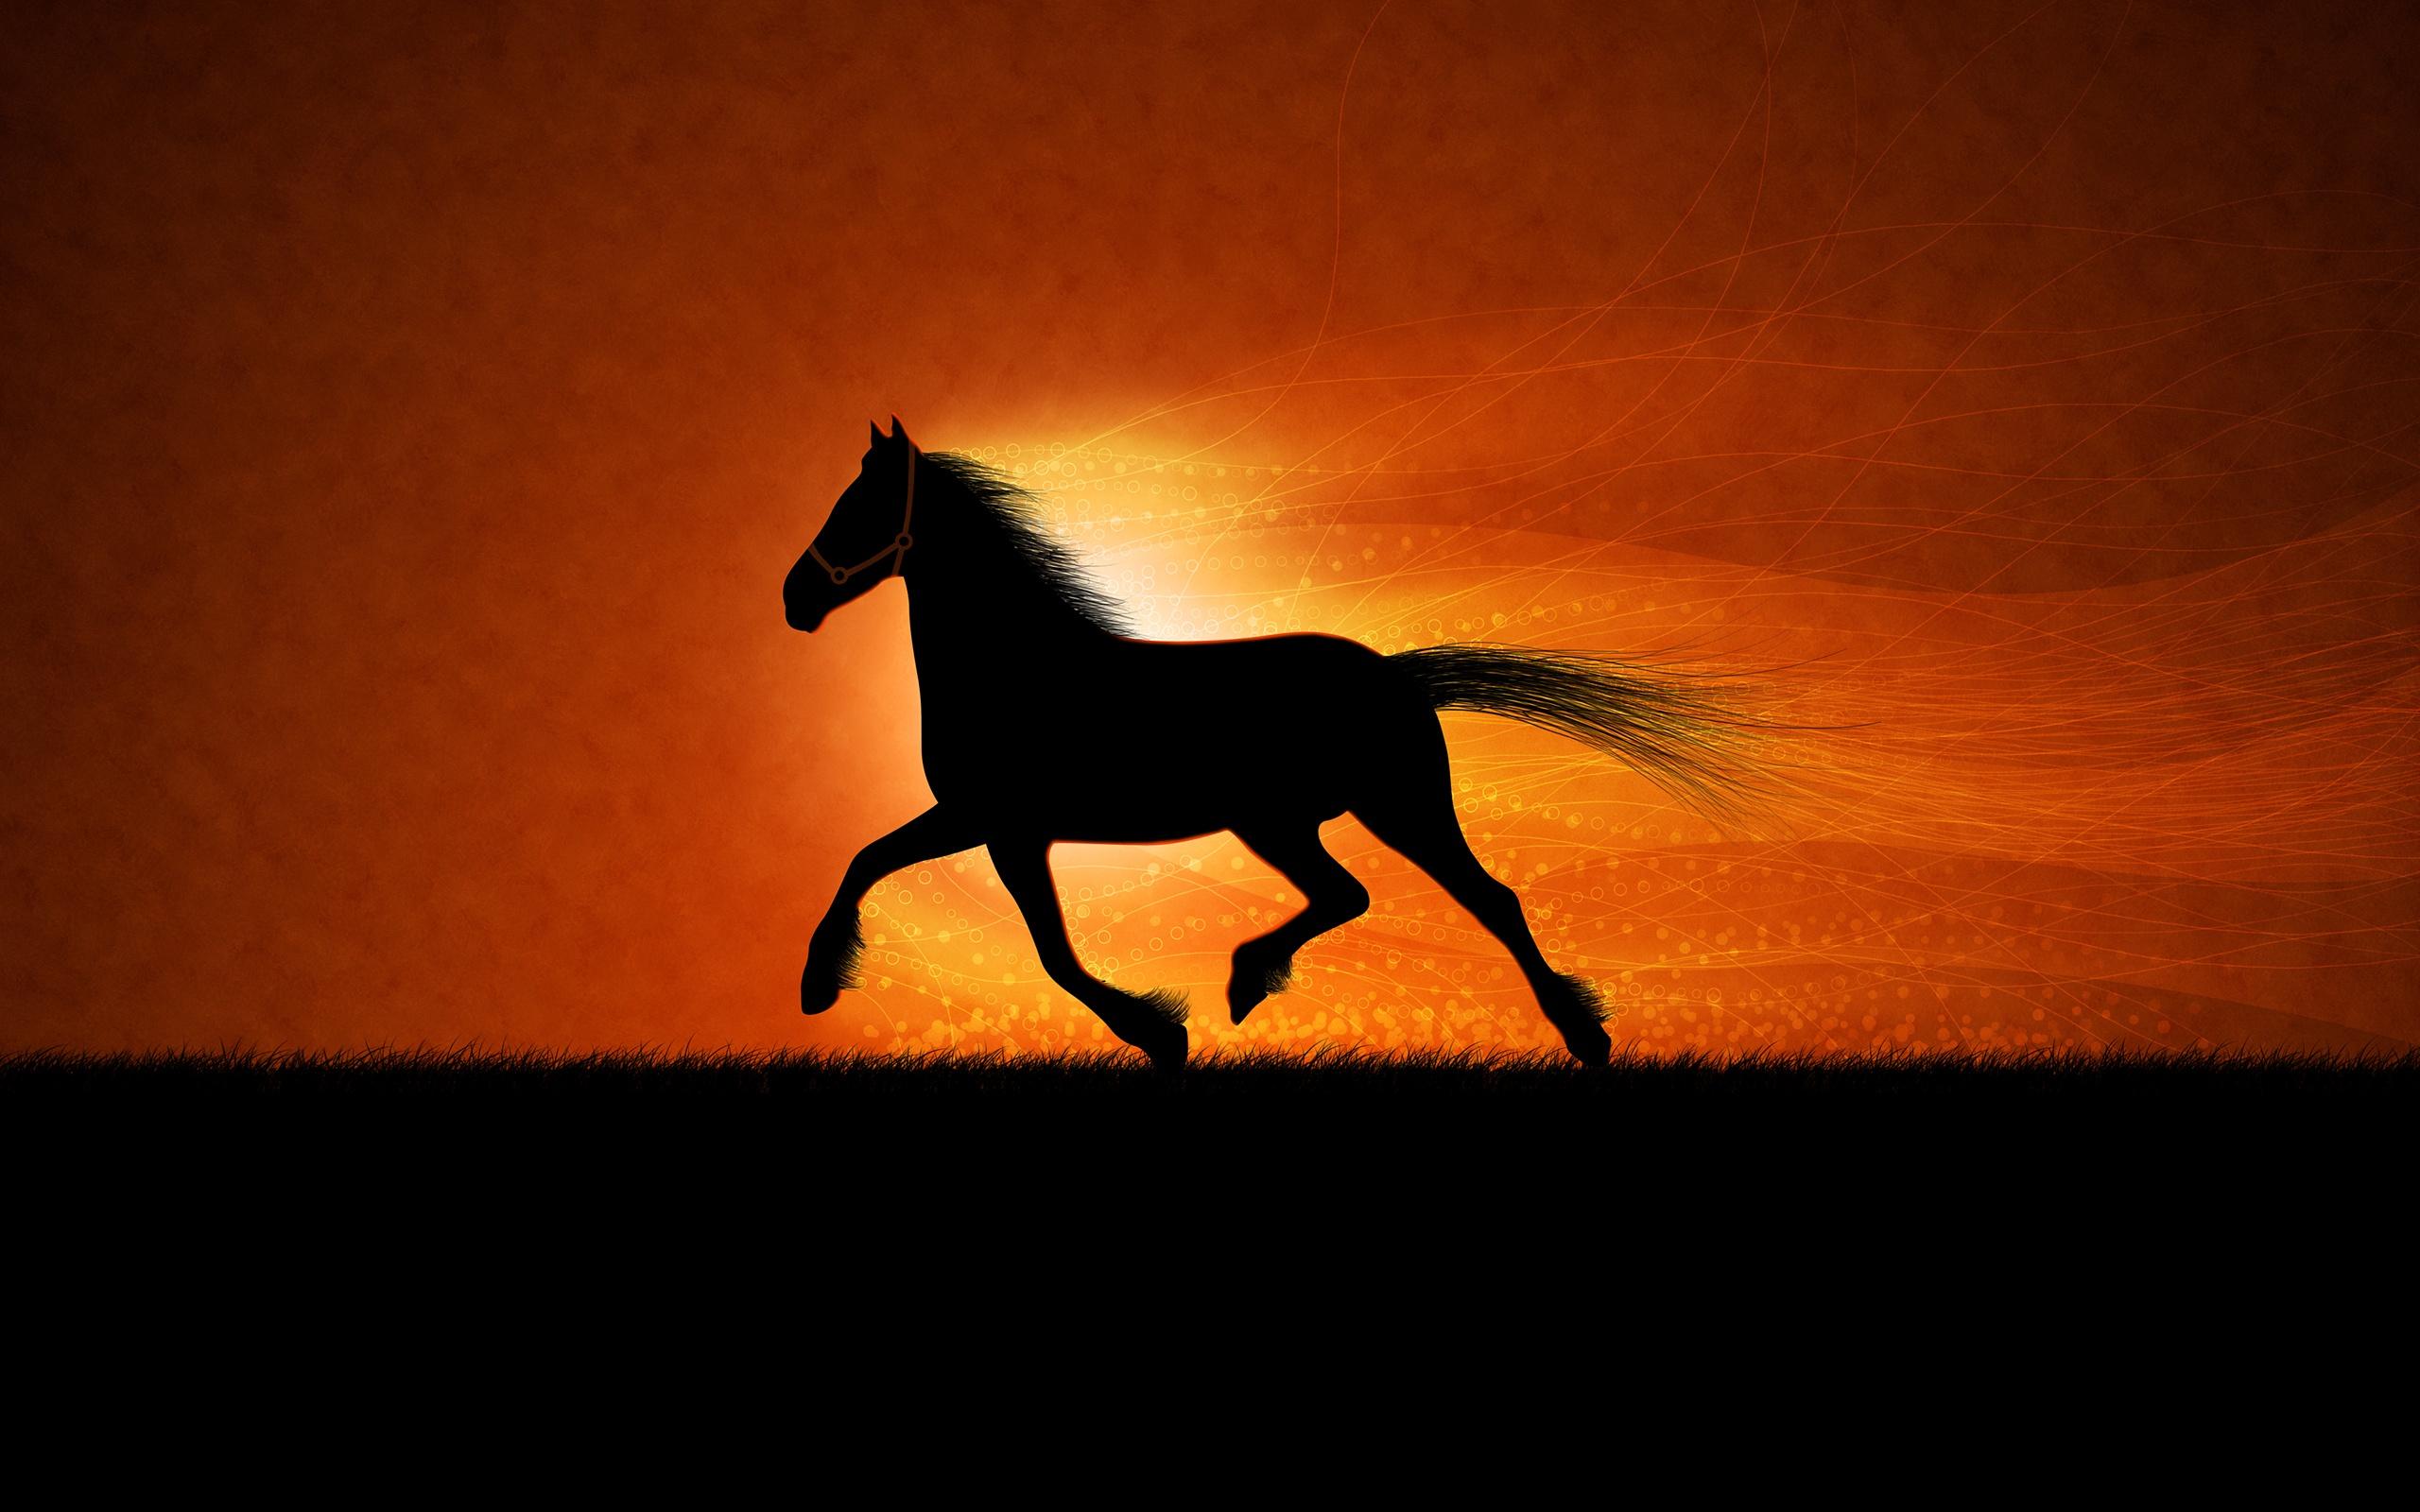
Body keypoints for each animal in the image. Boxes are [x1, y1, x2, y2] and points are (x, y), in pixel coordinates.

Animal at [784, 418, 1777, 1069]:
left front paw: (1161, 1033)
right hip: (1294, 822)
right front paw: (820, 987)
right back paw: (1253, 980)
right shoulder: (977, 820)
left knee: (1477, 899)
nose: (796, 598)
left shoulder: (1005, 827)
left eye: (860, 508)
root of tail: (1397, 676)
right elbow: (868, 861)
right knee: (1357, 895)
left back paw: (1581, 1036)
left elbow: (1050, 951)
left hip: (1381, 809)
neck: (1016, 666)